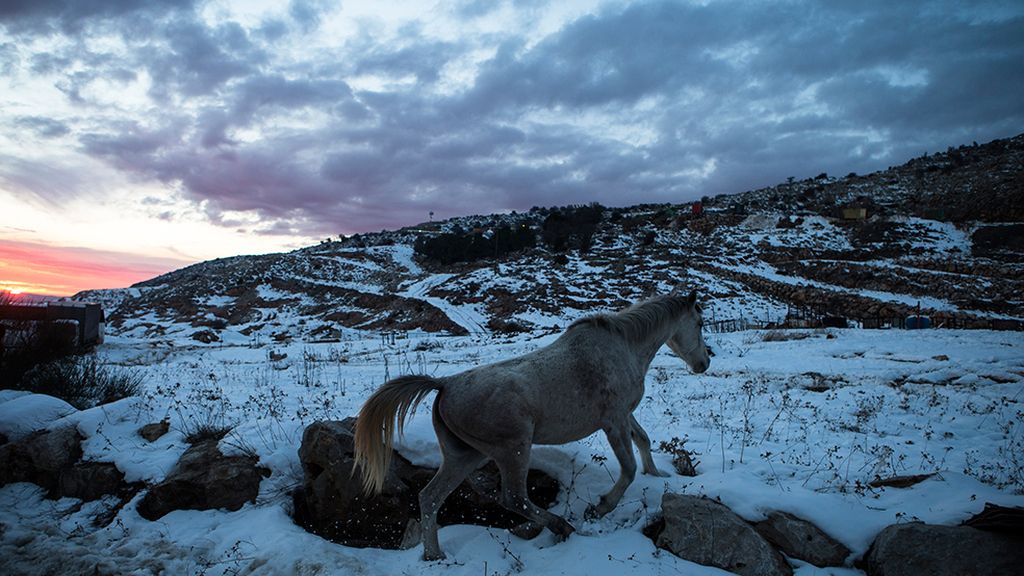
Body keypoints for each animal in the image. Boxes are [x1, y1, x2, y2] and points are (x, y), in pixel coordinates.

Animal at [350, 289, 704, 557]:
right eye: (700, 322)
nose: (704, 362)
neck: (623, 347)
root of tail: (444, 385)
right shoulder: (613, 420)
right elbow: (628, 469)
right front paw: (600, 508)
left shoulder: (624, 415)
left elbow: (643, 440)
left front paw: (657, 475)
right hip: (513, 450)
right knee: (513, 498)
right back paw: (561, 526)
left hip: (464, 456)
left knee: (430, 498)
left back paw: (434, 555)